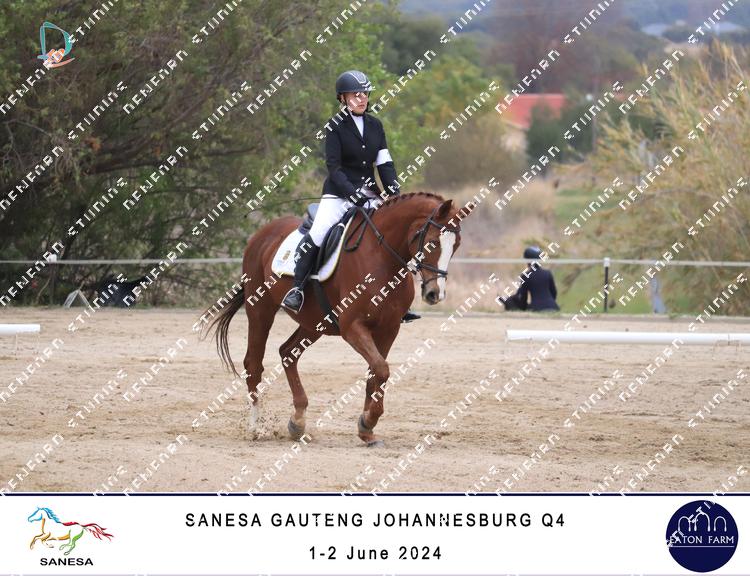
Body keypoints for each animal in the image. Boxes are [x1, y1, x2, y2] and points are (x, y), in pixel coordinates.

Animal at [204, 192, 467, 446]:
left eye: (456, 246)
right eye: (433, 242)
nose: (434, 294)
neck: (383, 258)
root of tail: (262, 233)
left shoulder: (389, 329)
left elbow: (376, 372)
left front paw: (367, 429)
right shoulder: (352, 328)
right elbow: (381, 369)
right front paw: (368, 421)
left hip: (314, 322)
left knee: (288, 352)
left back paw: (297, 422)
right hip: (260, 309)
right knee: (254, 363)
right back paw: (256, 427)